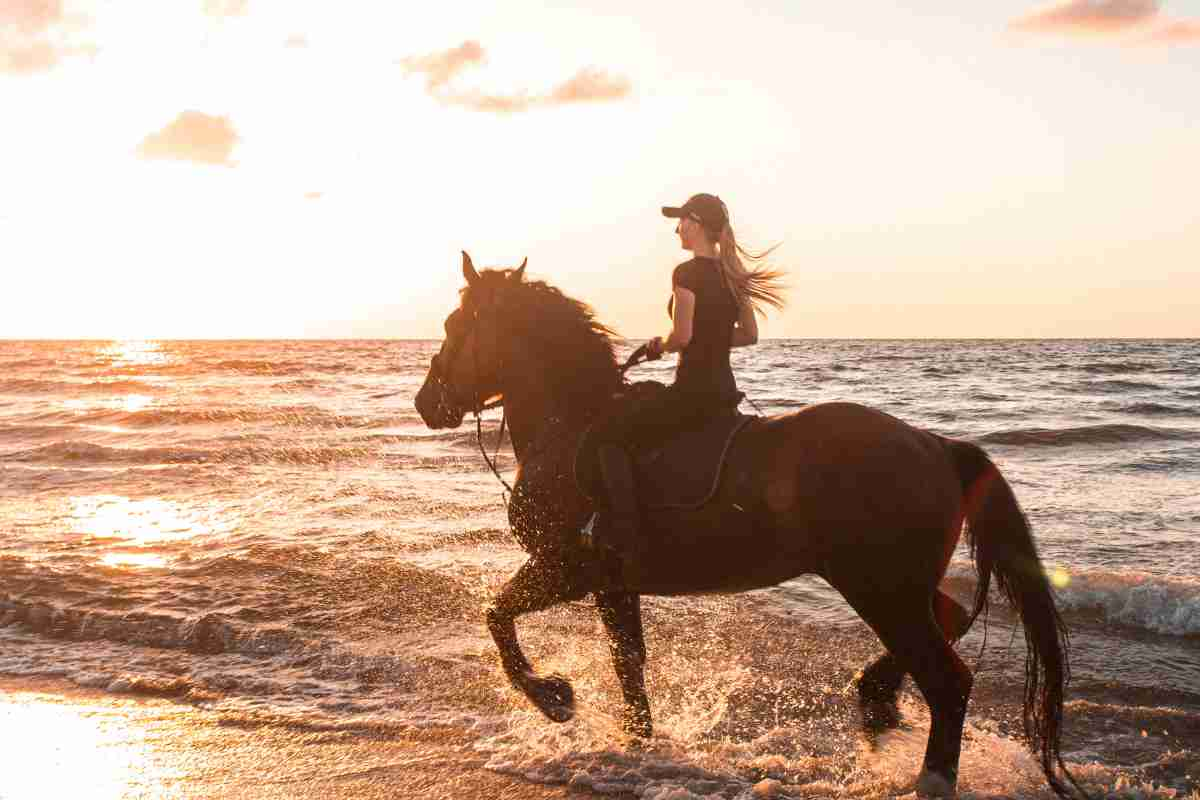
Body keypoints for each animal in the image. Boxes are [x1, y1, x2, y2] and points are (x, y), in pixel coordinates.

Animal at [415, 253, 1089, 796]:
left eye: (453, 326)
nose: (427, 403)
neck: (571, 422)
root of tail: (936, 445)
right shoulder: (612, 584)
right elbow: (628, 666)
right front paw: (637, 746)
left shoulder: (565, 569)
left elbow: (498, 618)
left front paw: (554, 699)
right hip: (901, 588)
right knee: (951, 619)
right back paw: (874, 701)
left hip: (880, 590)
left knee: (947, 679)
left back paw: (928, 777)